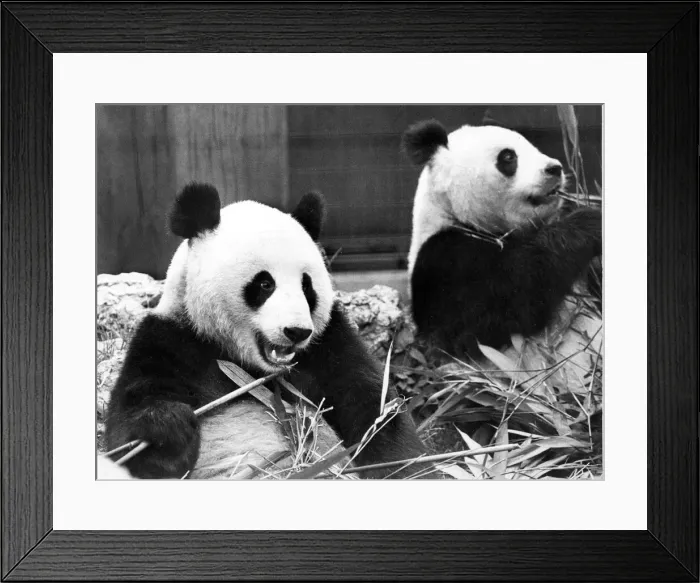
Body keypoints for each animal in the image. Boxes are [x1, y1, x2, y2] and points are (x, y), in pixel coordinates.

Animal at [103, 183, 426, 479]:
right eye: (264, 284)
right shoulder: (173, 340)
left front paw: (404, 466)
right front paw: (168, 429)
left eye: (307, 286)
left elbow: (374, 406)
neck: (252, 368)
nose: (296, 331)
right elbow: (129, 431)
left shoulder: (329, 343)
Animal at [402, 120, 602, 362]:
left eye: (532, 147)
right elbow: (505, 306)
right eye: (508, 157)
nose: (555, 168)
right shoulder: (446, 259)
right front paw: (590, 221)